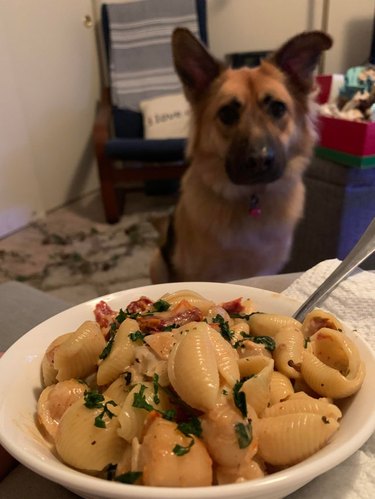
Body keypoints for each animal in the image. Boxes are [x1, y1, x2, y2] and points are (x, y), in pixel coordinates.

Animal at [150, 29, 332, 284]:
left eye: (278, 108)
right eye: (227, 113)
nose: (260, 160)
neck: (251, 200)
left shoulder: (266, 270)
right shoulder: (197, 274)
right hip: (157, 261)